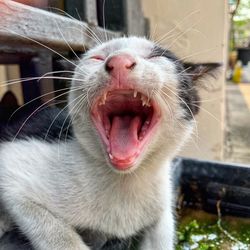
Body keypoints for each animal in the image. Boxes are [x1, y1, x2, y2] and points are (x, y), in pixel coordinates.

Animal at [0, 36, 219, 249]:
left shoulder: (161, 201)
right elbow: (55, 231)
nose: (119, 61)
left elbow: (162, 232)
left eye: (156, 56)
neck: (126, 180)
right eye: (97, 58)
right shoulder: (13, 163)